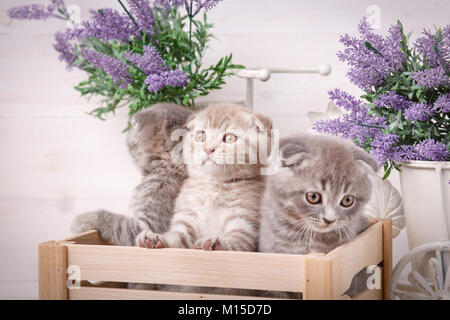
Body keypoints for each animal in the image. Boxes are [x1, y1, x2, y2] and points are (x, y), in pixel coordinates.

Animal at [135, 105, 272, 252]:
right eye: (201, 136)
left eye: (230, 138)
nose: (208, 149)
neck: (213, 187)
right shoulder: (187, 220)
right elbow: (176, 237)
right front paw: (156, 238)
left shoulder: (245, 224)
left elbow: (235, 242)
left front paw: (216, 242)